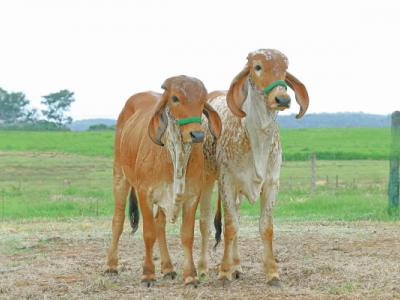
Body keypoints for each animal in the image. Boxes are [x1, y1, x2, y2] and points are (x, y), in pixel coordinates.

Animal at [105, 75, 222, 286]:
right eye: (175, 98)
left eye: (203, 100)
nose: (197, 134)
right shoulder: (144, 193)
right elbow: (148, 233)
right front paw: (148, 274)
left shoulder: (192, 195)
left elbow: (186, 235)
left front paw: (190, 275)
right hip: (120, 175)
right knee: (117, 220)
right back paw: (111, 265)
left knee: (160, 224)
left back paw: (168, 268)